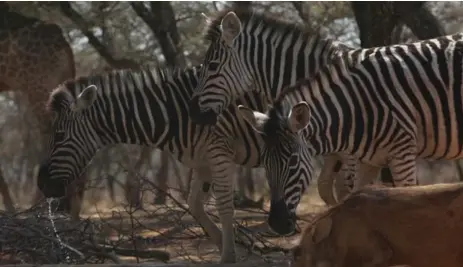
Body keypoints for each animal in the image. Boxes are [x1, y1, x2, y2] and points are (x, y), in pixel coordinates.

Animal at [37, 65, 312, 264]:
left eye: (59, 136)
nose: (41, 184)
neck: (175, 115)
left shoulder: (219, 153)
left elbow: (224, 205)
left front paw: (229, 254)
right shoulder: (202, 160)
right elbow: (194, 204)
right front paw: (230, 245)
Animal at [237, 31, 463, 236]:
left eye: (293, 162)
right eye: (265, 163)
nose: (277, 224)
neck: (356, 107)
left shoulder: (402, 153)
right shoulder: (370, 160)